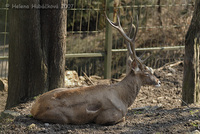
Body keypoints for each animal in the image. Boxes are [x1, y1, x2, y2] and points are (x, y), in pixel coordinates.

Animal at [30, 12, 161, 125]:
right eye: (147, 72)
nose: (159, 81)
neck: (124, 100)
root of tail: (34, 108)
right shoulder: (106, 116)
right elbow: (123, 117)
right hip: (61, 117)